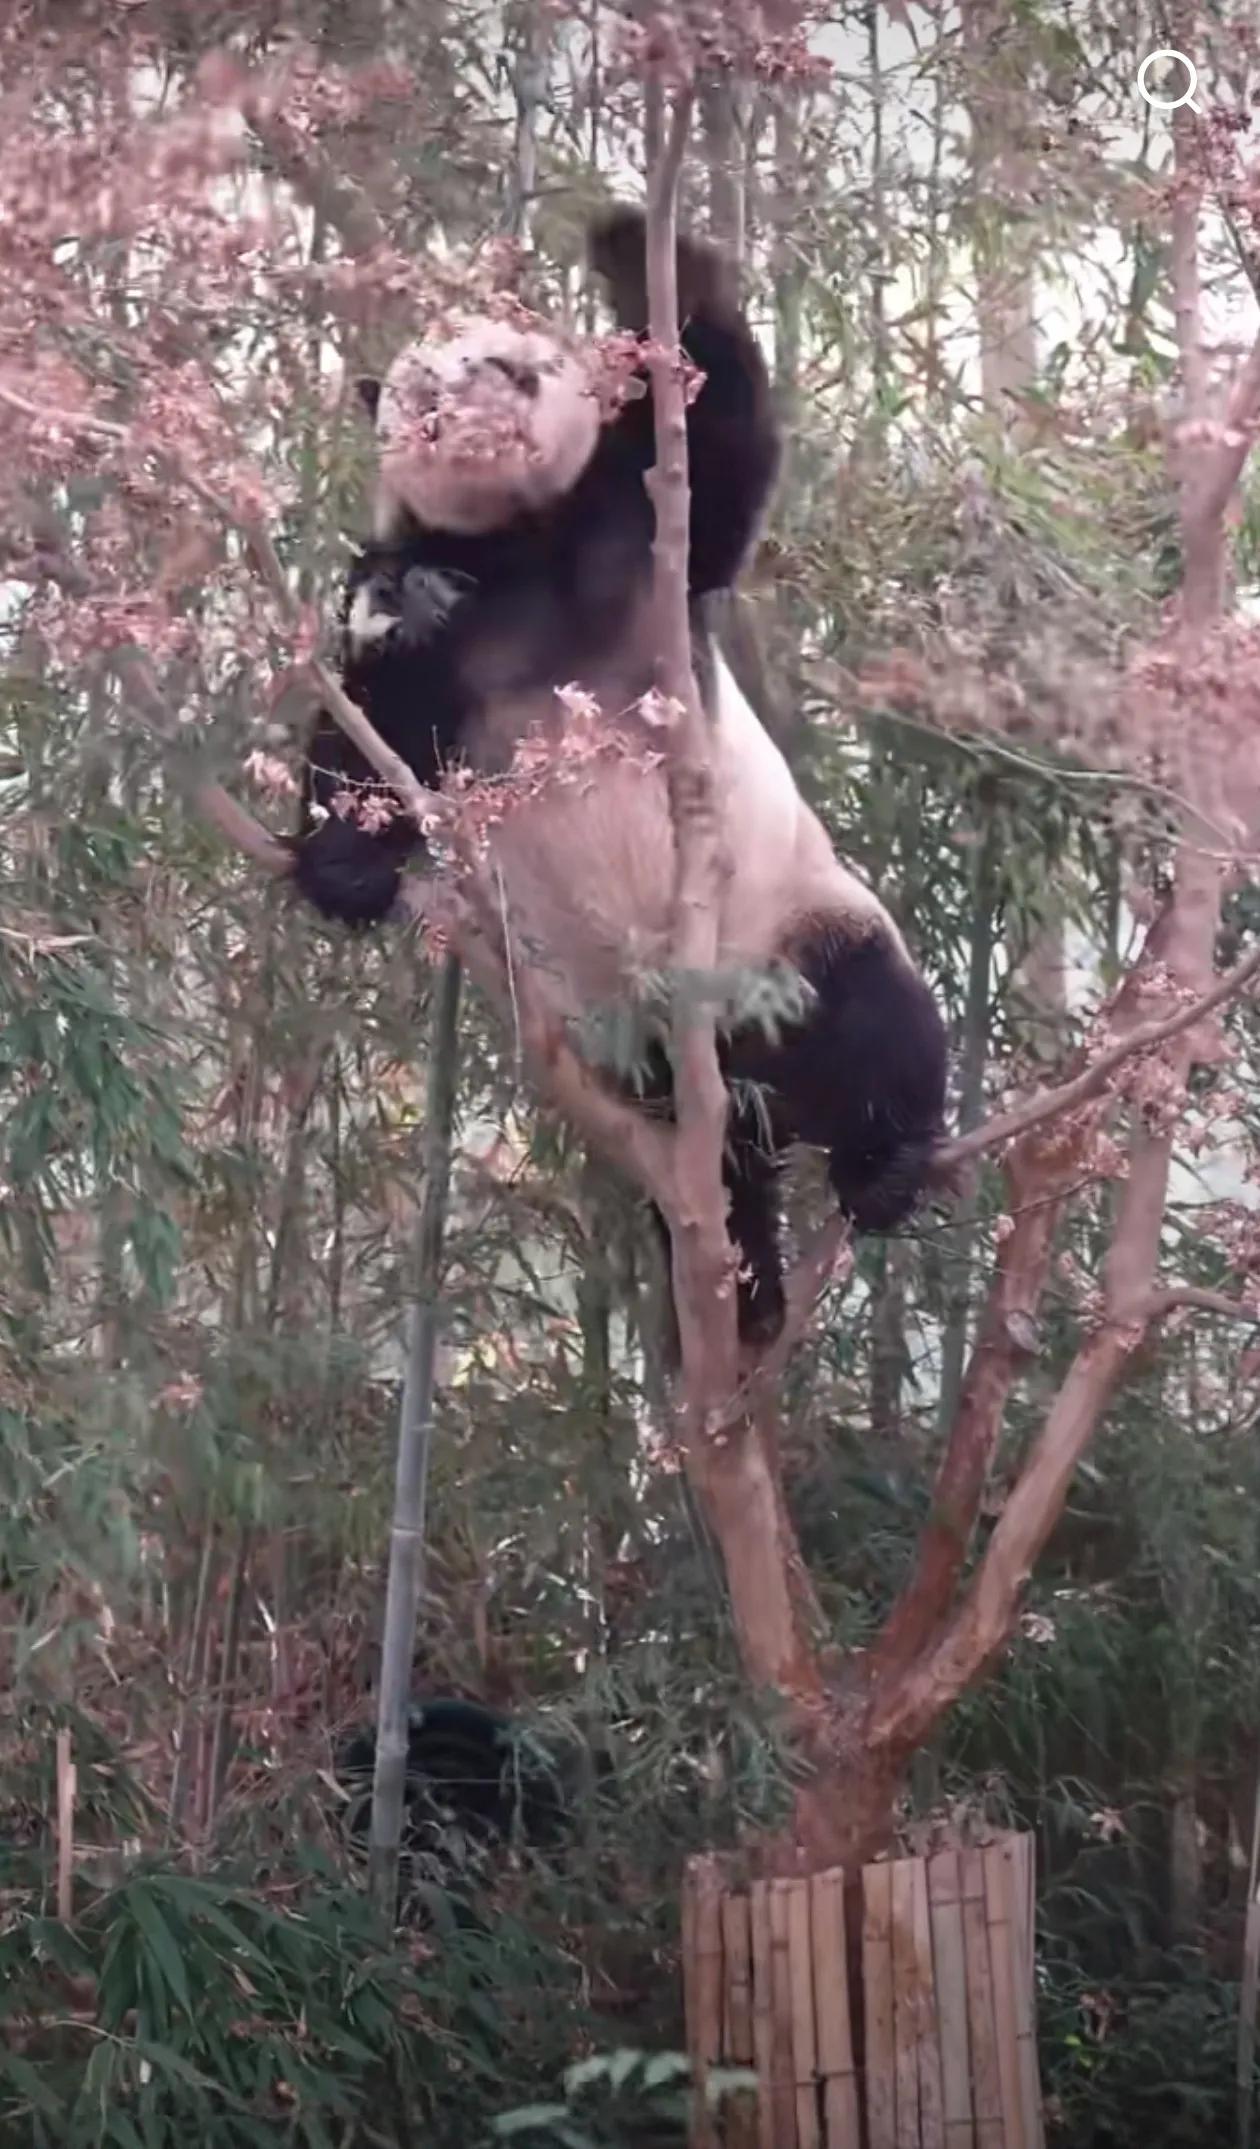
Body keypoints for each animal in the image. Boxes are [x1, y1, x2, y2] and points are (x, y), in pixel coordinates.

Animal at [292, 205, 941, 1340]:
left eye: (508, 365)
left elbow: (723, 458)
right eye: (422, 389)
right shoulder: (442, 606)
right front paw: (343, 867)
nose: (470, 415)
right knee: (724, 1172)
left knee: (876, 1016)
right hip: (644, 1054)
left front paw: (627, 248)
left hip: (788, 930)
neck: (517, 529)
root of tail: (742, 1076)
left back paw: (887, 1166)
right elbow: (378, 722)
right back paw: (741, 1295)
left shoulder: (641, 539)